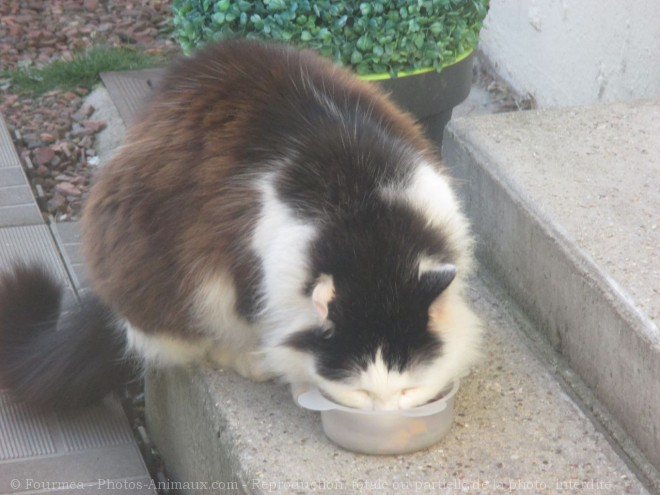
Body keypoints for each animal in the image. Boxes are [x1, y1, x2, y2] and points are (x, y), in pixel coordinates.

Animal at [0, 37, 480, 410]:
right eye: (361, 394)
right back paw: (248, 358)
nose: (384, 415)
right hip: (164, 273)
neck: (366, 221)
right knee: (180, 339)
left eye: (408, 390)